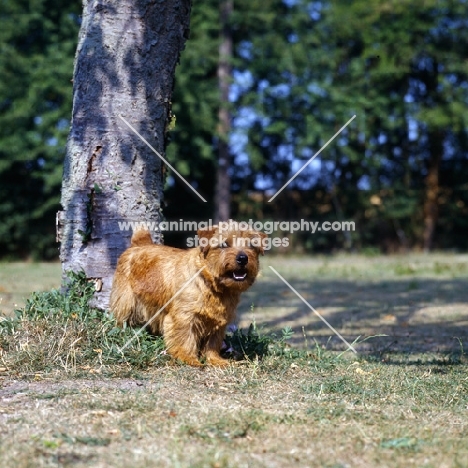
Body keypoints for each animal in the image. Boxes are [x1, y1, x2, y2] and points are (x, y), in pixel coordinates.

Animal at [108, 221, 266, 368]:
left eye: (252, 246)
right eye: (224, 244)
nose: (243, 258)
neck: (212, 286)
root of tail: (139, 244)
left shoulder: (219, 321)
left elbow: (213, 343)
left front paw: (216, 360)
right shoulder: (183, 317)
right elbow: (185, 339)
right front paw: (188, 359)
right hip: (125, 302)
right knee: (121, 319)